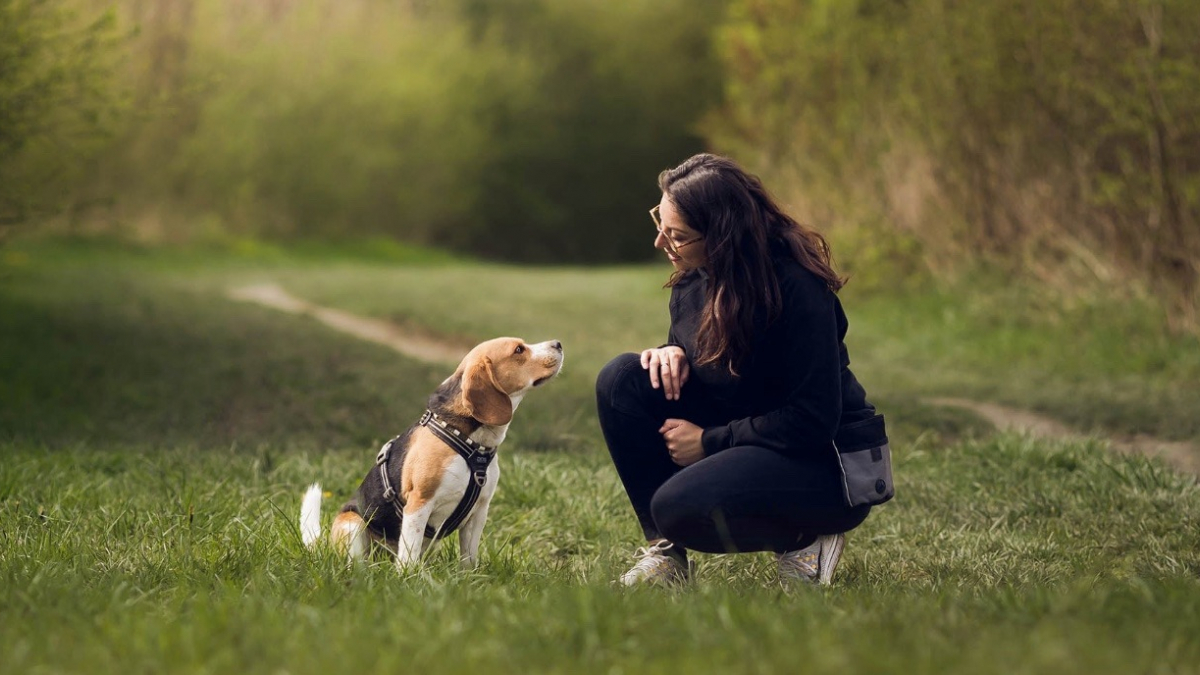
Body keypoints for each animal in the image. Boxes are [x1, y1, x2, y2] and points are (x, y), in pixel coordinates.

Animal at [300, 336, 561, 566]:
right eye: (519, 350)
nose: (558, 344)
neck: (472, 443)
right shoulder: (419, 504)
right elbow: (409, 557)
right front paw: (409, 580)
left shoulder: (479, 512)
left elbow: (468, 558)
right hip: (353, 525)